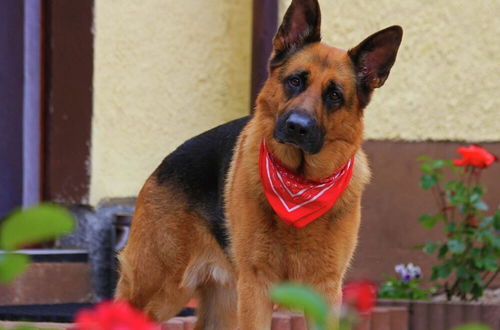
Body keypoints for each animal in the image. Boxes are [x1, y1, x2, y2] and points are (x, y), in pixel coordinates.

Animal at [116, 0, 402, 328]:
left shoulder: (324, 291)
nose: (297, 127)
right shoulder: (257, 288)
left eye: (334, 95)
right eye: (295, 80)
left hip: (222, 307)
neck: (300, 183)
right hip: (159, 292)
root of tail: (163, 165)